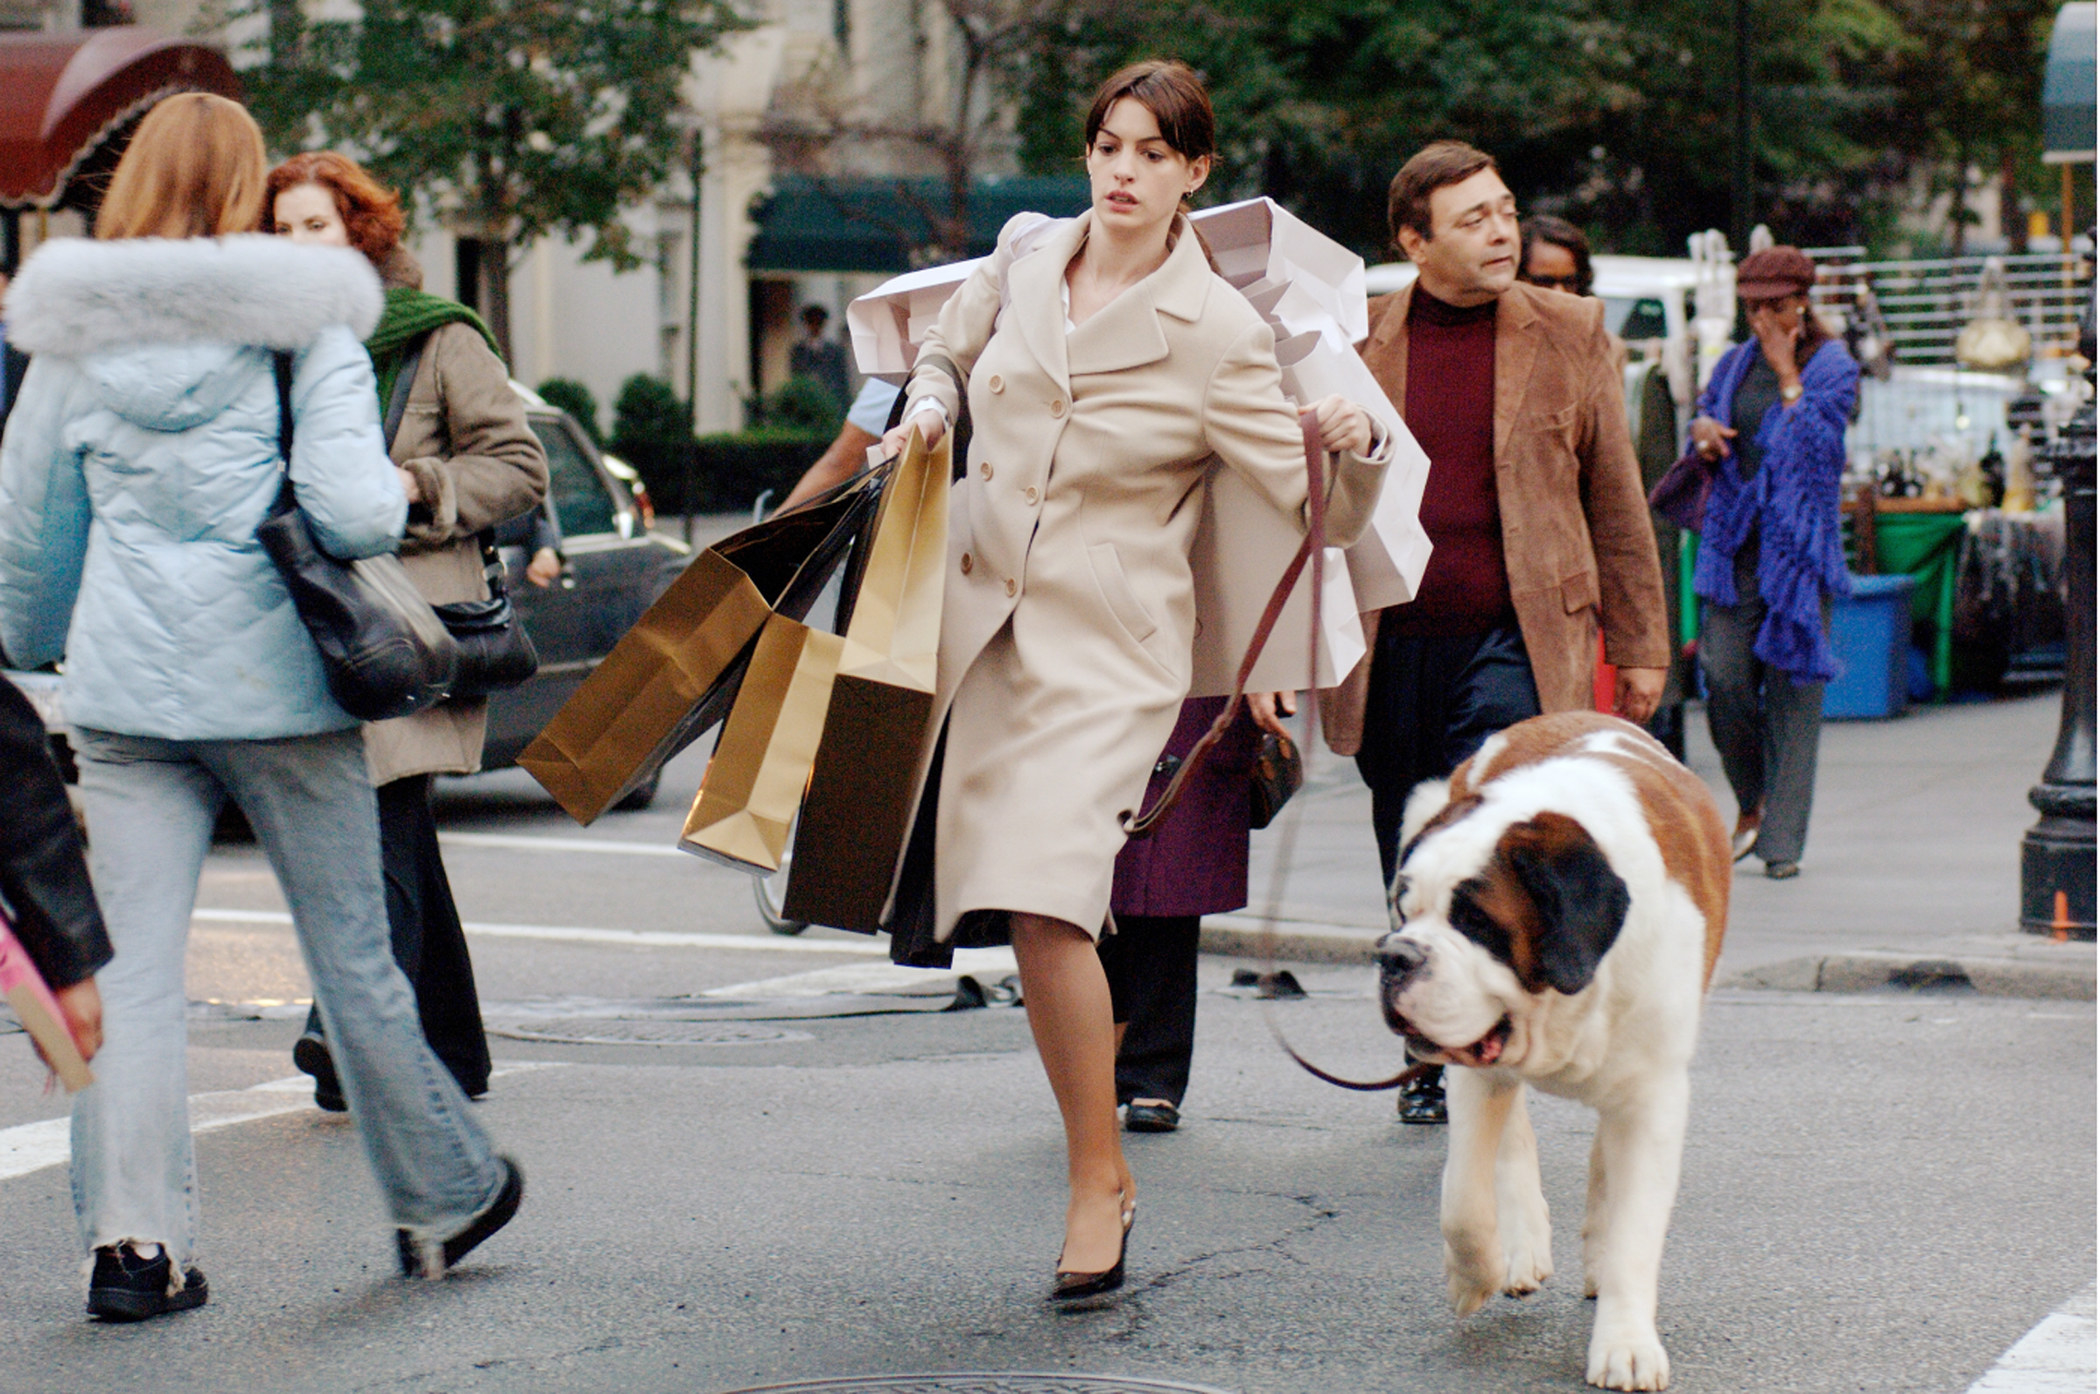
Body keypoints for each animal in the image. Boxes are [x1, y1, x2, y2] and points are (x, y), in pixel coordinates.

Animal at [1377, 713, 1721, 1385]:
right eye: (1404, 910)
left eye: (1475, 922)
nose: (1395, 956)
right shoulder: (1473, 1066)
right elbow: (1462, 1200)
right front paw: (1473, 1275)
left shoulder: (1654, 1097)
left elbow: (1635, 1228)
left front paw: (1626, 1343)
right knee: (1511, 1139)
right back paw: (1520, 1247)